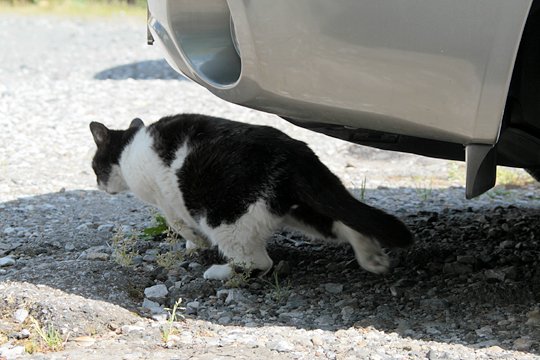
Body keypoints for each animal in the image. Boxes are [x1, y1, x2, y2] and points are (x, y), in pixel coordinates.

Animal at [89, 114, 414, 280]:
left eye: (94, 166)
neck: (129, 147)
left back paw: (219, 271)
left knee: (258, 262)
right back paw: (373, 259)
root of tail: (297, 152)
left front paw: (195, 244)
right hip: (299, 209)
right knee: (347, 223)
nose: (98, 185)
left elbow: (180, 224)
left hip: (226, 216)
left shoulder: (166, 200)